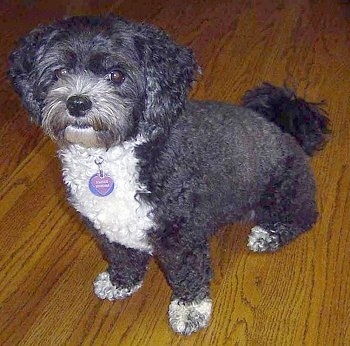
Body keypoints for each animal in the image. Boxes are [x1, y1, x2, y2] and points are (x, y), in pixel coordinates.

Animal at [8, 16, 330, 336]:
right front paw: (120, 282)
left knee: (304, 218)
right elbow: (123, 256)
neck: (112, 156)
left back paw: (269, 235)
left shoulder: (182, 233)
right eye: (60, 71)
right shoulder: (106, 229)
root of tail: (288, 132)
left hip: (283, 194)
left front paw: (190, 310)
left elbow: (188, 272)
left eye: (116, 75)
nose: (77, 102)